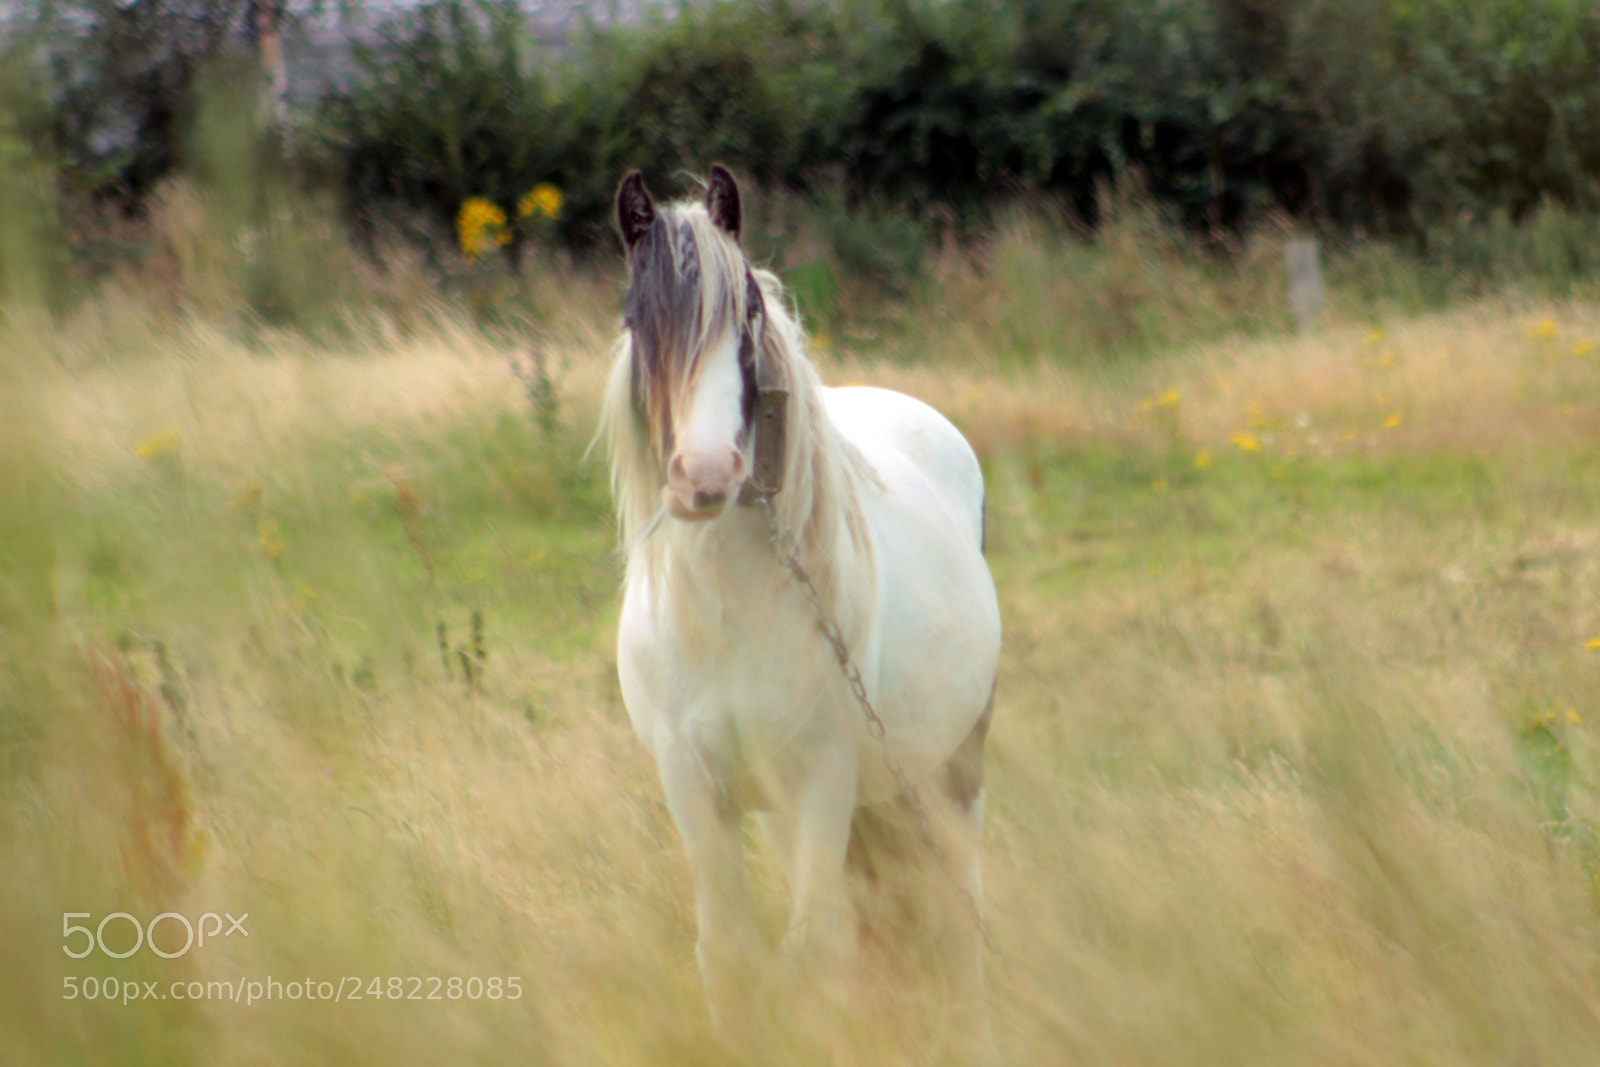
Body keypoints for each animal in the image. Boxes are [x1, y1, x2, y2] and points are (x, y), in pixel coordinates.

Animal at [599, 165, 1001, 1029]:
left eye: (746, 317)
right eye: (639, 321)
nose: (704, 475)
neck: (726, 615)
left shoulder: (823, 779)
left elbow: (820, 951)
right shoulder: (696, 785)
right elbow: (731, 956)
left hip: (948, 775)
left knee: (956, 915)